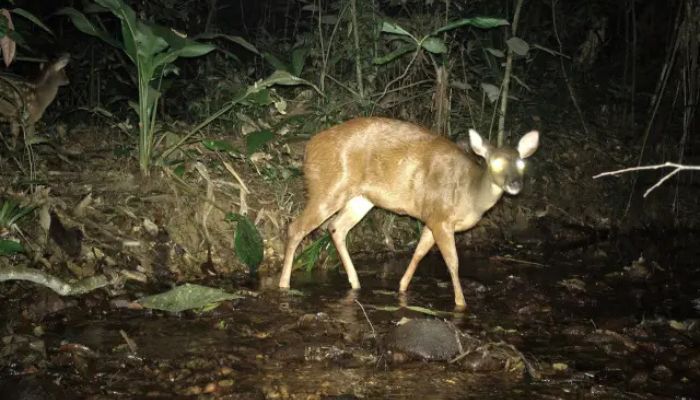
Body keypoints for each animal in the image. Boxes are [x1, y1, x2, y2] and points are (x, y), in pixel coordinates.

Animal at [278, 117, 539, 308]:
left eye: (521, 164)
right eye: (495, 163)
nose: (515, 184)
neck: (471, 195)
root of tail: (309, 149)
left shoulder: (432, 218)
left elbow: (419, 253)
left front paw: (402, 288)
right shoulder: (441, 217)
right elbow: (452, 262)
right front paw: (461, 304)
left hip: (362, 197)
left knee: (336, 227)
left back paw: (356, 283)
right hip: (329, 187)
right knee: (297, 227)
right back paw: (284, 284)